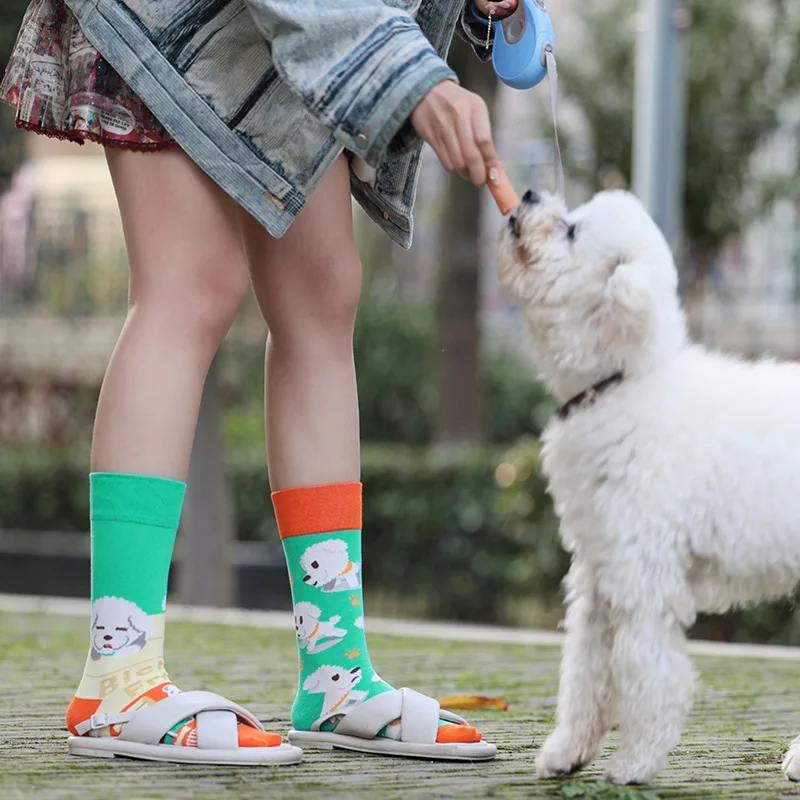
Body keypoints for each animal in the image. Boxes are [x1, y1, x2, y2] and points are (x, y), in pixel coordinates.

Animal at [496, 189, 800, 788]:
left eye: (571, 230)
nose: (529, 194)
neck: (621, 381)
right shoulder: (599, 571)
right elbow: (585, 669)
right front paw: (568, 753)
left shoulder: (642, 576)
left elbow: (648, 670)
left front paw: (635, 761)